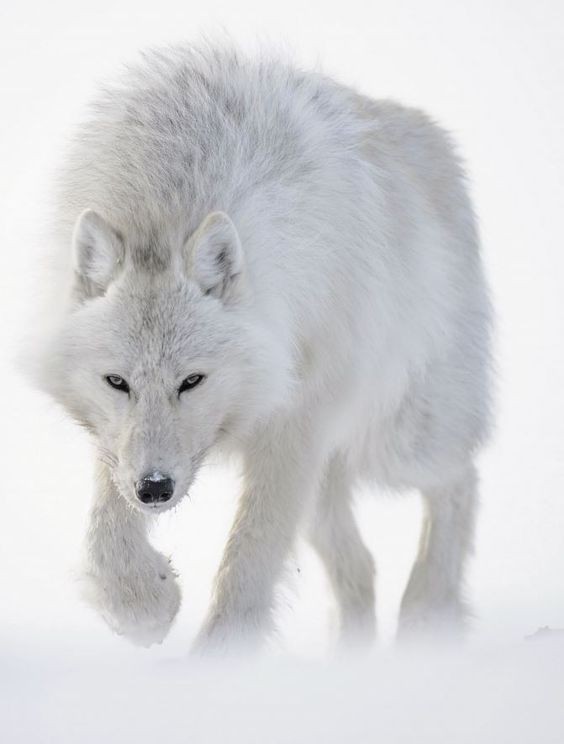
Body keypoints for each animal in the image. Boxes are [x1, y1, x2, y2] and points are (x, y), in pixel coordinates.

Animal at [28, 42, 492, 652]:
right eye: (117, 382)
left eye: (192, 381)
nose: (155, 489)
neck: (168, 198)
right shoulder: (119, 441)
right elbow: (107, 526)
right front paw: (142, 605)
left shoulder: (296, 421)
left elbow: (250, 557)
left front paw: (220, 660)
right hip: (329, 480)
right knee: (362, 566)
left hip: (397, 440)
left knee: (460, 479)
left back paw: (426, 616)